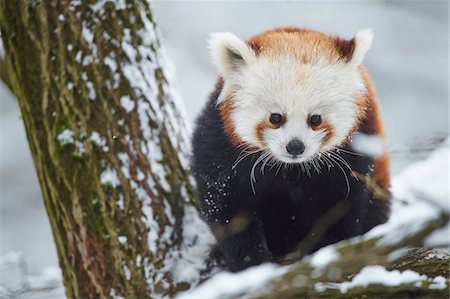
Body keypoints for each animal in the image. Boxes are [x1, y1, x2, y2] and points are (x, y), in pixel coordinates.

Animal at [192, 27, 392, 272]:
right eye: (276, 118)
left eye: (315, 119)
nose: (295, 146)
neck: (290, 169)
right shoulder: (220, 142)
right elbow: (228, 208)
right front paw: (252, 263)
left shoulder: (355, 150)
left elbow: (342, 208)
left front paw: (325, 251)